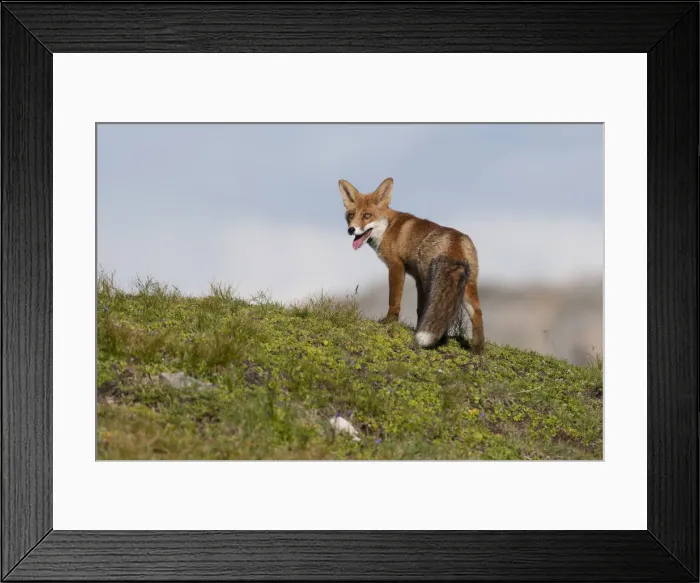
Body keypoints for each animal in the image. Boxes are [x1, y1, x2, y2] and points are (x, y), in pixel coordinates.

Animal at [338, 176, 485, 353]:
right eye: (351, 215)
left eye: (367, 215)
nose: (351, 229)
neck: (388, 227)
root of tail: (456, 242)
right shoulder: (417, 277)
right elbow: (420, 309)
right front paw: (417, 328)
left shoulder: (396, 266)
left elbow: (394, 300)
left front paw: (389, 322)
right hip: (466, 285)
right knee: (477, 312)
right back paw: (477, 351)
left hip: (433, 280)